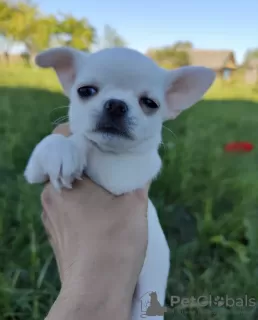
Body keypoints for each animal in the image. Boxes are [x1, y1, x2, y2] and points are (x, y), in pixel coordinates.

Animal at [24, 46, 215, 318]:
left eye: (150, 103)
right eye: (85, 91)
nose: (116, 104)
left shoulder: (121, 173)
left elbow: (88, 144)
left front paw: (76, 147)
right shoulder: (34, 170)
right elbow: (60, 143)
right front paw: (61, 150)